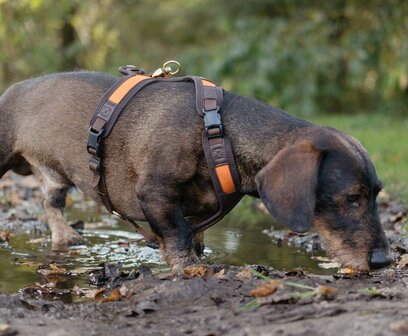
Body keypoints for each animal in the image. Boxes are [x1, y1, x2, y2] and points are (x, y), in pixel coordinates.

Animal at [0, 71, 392, 272]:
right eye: (351, 198)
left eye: (376, 194)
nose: (385, 261)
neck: (218, 134)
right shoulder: (155, 195)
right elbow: (178, 239)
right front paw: (189, 269)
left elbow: (194, 235)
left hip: (54, 180)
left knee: (50, 204)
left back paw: (65, 236)